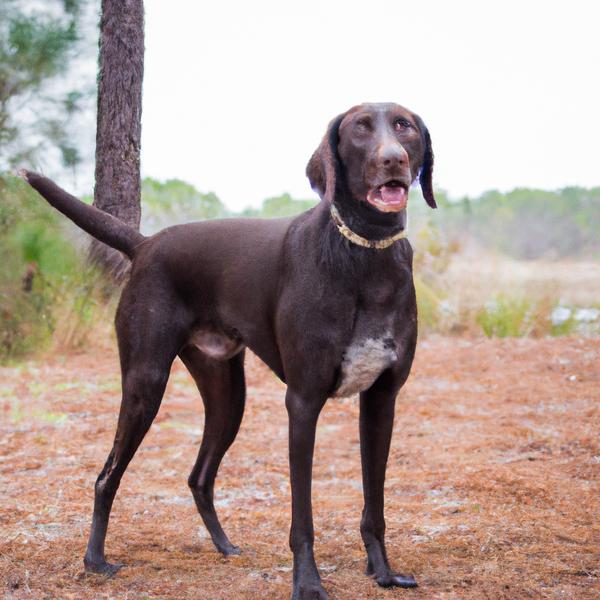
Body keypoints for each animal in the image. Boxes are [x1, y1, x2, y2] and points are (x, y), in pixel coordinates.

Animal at [21, 103, 436, 600]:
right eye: (360, 128)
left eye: (403, 126)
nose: (393, 159)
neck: (365, 252)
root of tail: (146, 243)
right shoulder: (303, 402)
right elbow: (303, 518)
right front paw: (308, 583)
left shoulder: (381, 401)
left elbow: (375, 506)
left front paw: (383, 572)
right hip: (145, 383)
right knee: (107, 477)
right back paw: (95, 561)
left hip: (226, 394)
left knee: (199, 476)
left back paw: (224, 546)